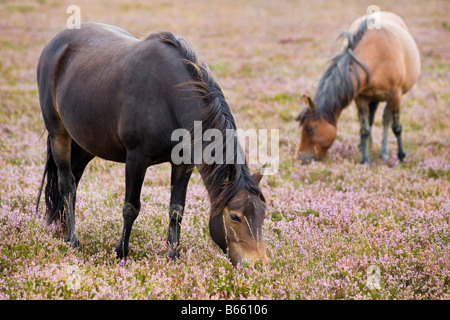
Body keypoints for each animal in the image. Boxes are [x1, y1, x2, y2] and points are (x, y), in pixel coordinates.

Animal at [37, 22, 268, 266]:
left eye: (263, 214)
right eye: (235, 216)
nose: (257, 264)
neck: (169, 97)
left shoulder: (183, 163)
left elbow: (177, 209)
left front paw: (173, 255)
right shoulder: (136, 160)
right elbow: (131, 208)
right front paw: (121, 252)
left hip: (87, 142)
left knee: (75, 178)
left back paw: (64, 229)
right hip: (58, 132)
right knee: (67, 183)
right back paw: (71, 239)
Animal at [298, 11, 420, 164]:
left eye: (310, 129)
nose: (300, 158)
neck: (377, 56)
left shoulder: (396, 95)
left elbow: (396, 127)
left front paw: (401, 155)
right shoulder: (361, 98)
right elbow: (364, 129)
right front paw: (365, 159)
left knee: (386, 119)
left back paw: (384, 152)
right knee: (372, 119)